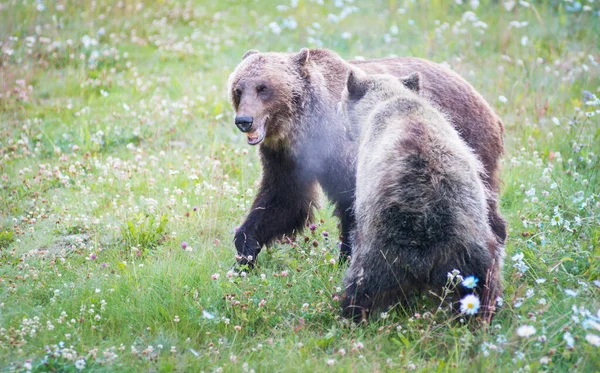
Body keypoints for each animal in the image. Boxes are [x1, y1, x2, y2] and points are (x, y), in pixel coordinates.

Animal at [227, 48, 504, 266]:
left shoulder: (344, 152)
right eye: (238, 89)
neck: (304, 129)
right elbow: (282, 201)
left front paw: (347, 257)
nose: (244, 120)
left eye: (263, 88)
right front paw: (244, 254)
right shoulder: (285, 158)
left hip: (467, 144)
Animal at [340, 71, 504, 322]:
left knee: (361, 284)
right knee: (482, 285)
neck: (389, 100)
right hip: (474, 254)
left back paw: (351, 313)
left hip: (380, 251)